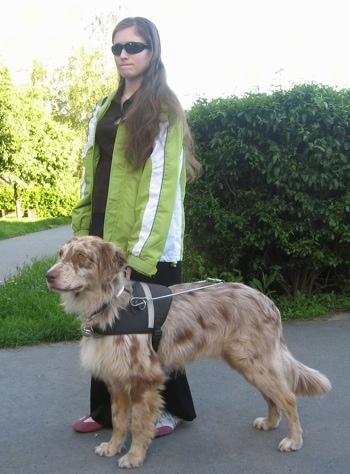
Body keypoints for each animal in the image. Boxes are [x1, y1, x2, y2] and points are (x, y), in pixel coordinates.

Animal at [45, 235, 330, 468]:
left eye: (81, 257)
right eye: (61, 254)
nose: (49, 275)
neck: (113, 305)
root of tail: (267, 300)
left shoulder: (143, 381)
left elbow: (138, 425)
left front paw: (134, 456)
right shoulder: (116, 381)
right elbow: (118, 422)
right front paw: (113, 447)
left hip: (255, 363)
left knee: (288, 398)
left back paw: (293, 440)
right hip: (248, 364)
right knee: (273, 398)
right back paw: (270, 423)